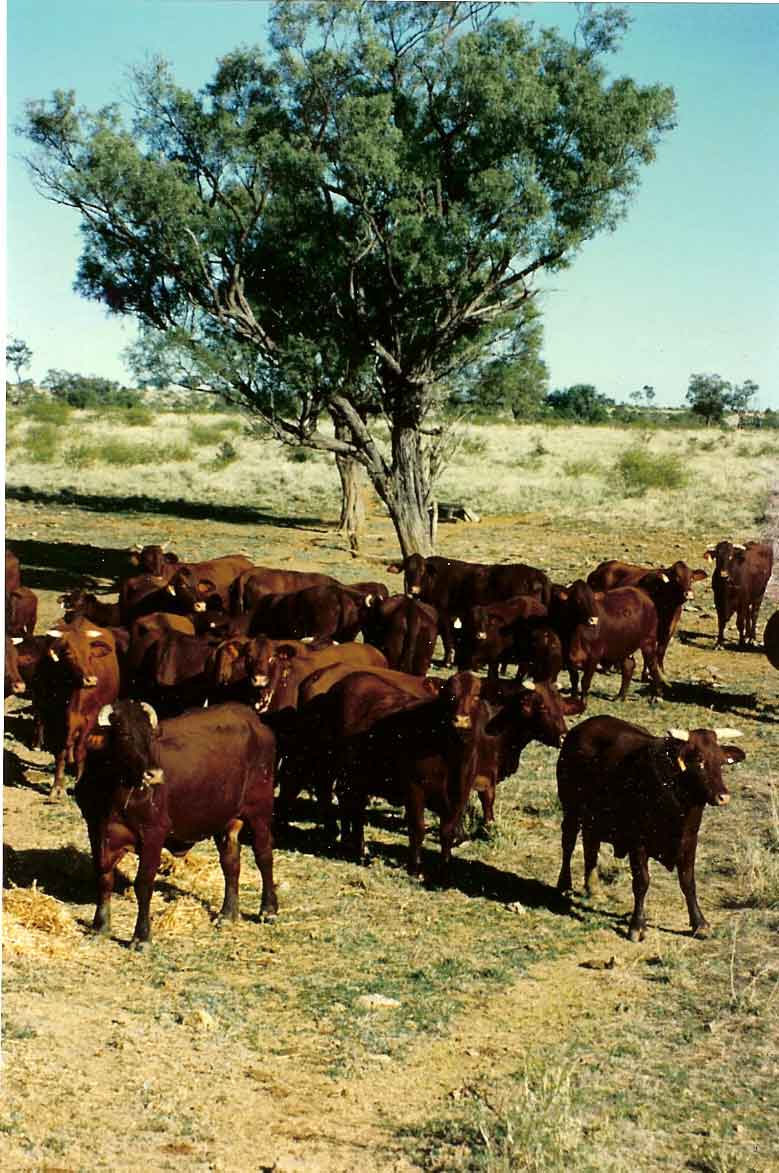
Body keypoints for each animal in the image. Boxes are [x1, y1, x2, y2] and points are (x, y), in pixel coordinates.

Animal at [34, 614, 120, 797]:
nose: (91, 680)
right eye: (68, 653)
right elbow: (60, 751)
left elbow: (81, 748)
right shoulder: (55, 718)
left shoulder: (91, 717)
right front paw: (58, 786)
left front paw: (79, 780)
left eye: (90, 655)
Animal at [73, 699, 278, 947]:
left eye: (150, 735)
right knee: (231, 864)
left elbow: (143, 884)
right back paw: (228, 914)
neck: (113, 794)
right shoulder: (96, 830)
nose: (154, 774)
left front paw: (142, 937)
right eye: (124, 734)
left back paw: (268, 910)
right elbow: (103, 878)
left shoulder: (153, 834)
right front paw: (100, 926)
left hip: (259, 811)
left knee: (264, 856)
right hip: (227, 821)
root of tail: (254, 721)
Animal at [556, 708, 746, 938]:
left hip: (593, 818)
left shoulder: (689, 841)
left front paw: (699, 922)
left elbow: (688, 882)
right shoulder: (638, 843)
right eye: (699, 760)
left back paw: (593, 888)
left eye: (720, 761)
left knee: (590, 846)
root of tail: (580, 729)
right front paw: (637, 924)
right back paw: (564, 884)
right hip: (570, 808)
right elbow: (642, 882)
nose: (723, 796)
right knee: (568, 842)